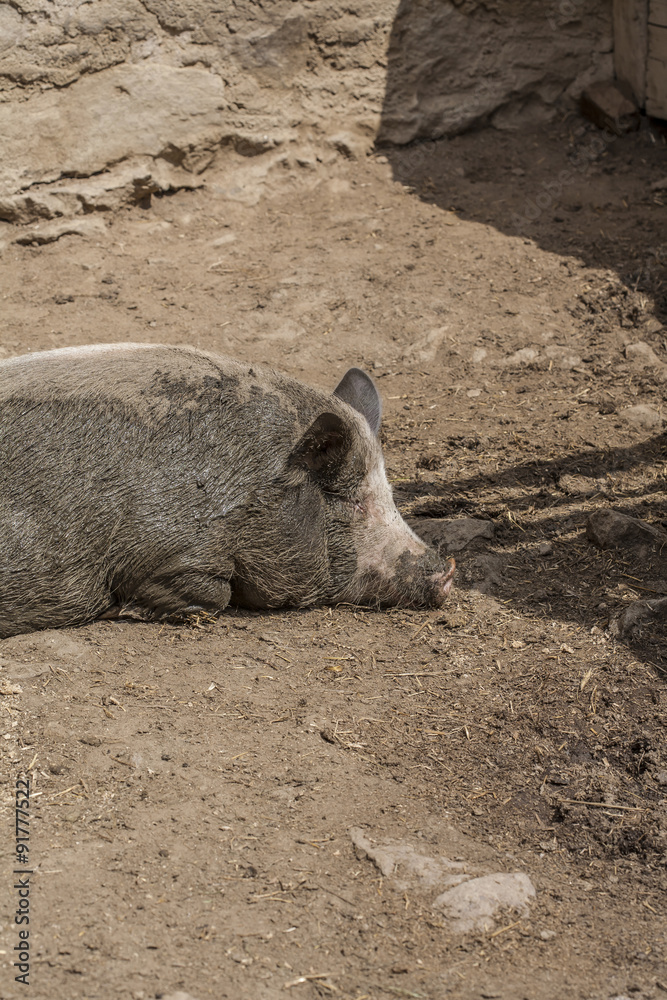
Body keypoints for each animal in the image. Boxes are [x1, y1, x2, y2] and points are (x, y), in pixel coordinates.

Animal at [0, 344, 454, 637]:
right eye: (354, 501)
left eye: (391, 493)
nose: (447, 571)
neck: (254, 488)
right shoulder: (161, 551)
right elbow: (212, 593)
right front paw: (125, 611)